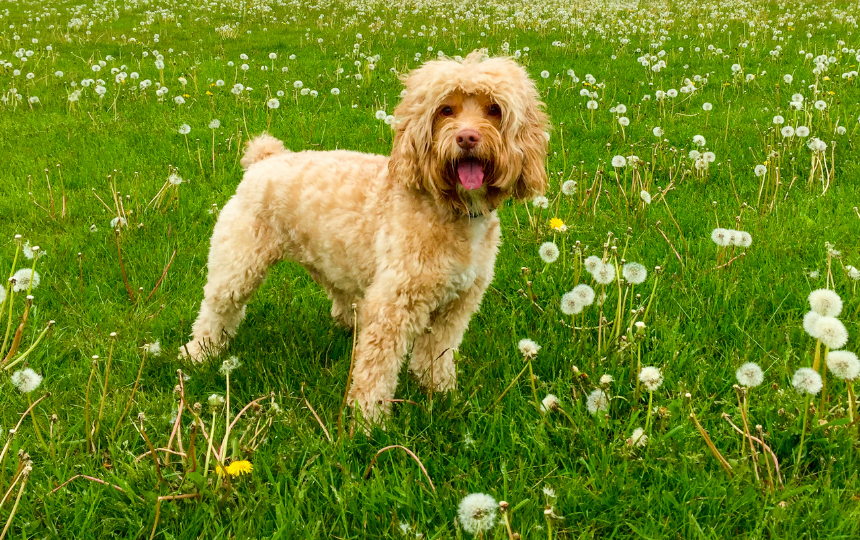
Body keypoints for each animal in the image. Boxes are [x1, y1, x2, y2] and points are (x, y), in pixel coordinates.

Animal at [180, 49, 552, 422]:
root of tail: (265, 159)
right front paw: (368, 418)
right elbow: (377, 368)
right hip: (239, 262)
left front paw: (438, 392)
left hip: (330, 260)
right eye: (446, 110)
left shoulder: (456, 306)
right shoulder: (394, 306)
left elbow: (437, 353)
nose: (467, 138)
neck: (450, 208)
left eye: (494, 110)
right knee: (216, 309)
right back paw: (198, 353)